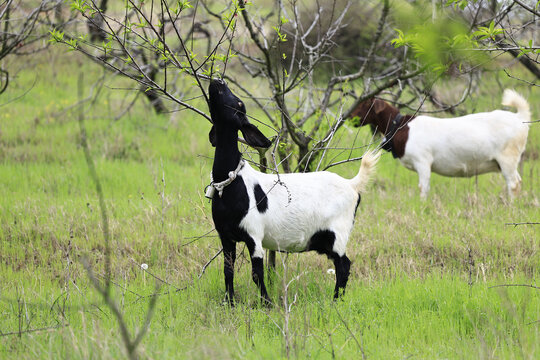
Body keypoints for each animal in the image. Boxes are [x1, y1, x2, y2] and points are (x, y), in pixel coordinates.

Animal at [207, 79, 380, 304]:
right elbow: (228, 271)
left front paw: (266, 303)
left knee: (344, 266)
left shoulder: (254, 234)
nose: (218, 81)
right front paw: (229, 303)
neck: (230, 183)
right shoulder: (225, 237)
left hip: (338, 233)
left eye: (239, 103)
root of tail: (352, 184)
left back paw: (335, 302)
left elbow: (257, 273)